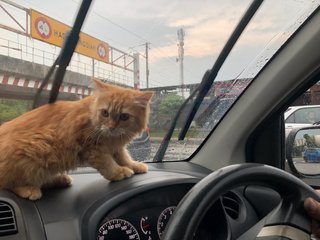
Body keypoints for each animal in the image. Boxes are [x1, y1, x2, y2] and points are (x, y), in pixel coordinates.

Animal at [0, 79, 154, 200]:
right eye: (105, 113)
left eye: (124, 117)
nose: (111, 127)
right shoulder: (92, 147)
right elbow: (108, 163)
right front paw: (119, 172)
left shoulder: (115, 147)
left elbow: (124, 158)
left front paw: (134, 165)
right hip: (37, 149)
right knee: (10, 183)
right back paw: (29, 189)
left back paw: (60, 179)